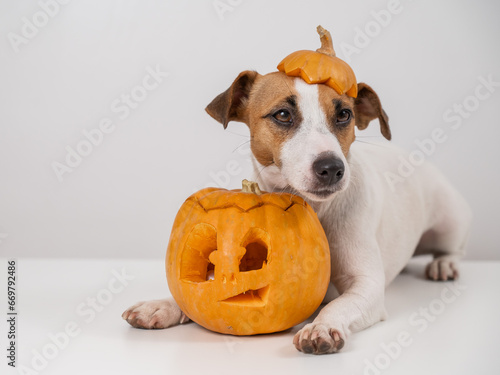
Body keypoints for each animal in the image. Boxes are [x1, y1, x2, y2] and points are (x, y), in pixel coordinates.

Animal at [122, 70, 472, 356]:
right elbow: (196, 290)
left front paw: (321, 326)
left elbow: (339, 305)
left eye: (344, 114)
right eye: (283, 114)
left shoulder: (367, 286)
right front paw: (162, 306)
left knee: (454, 247)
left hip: (448, 220)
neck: (316, 209)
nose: (332, 168)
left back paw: (444, 264)